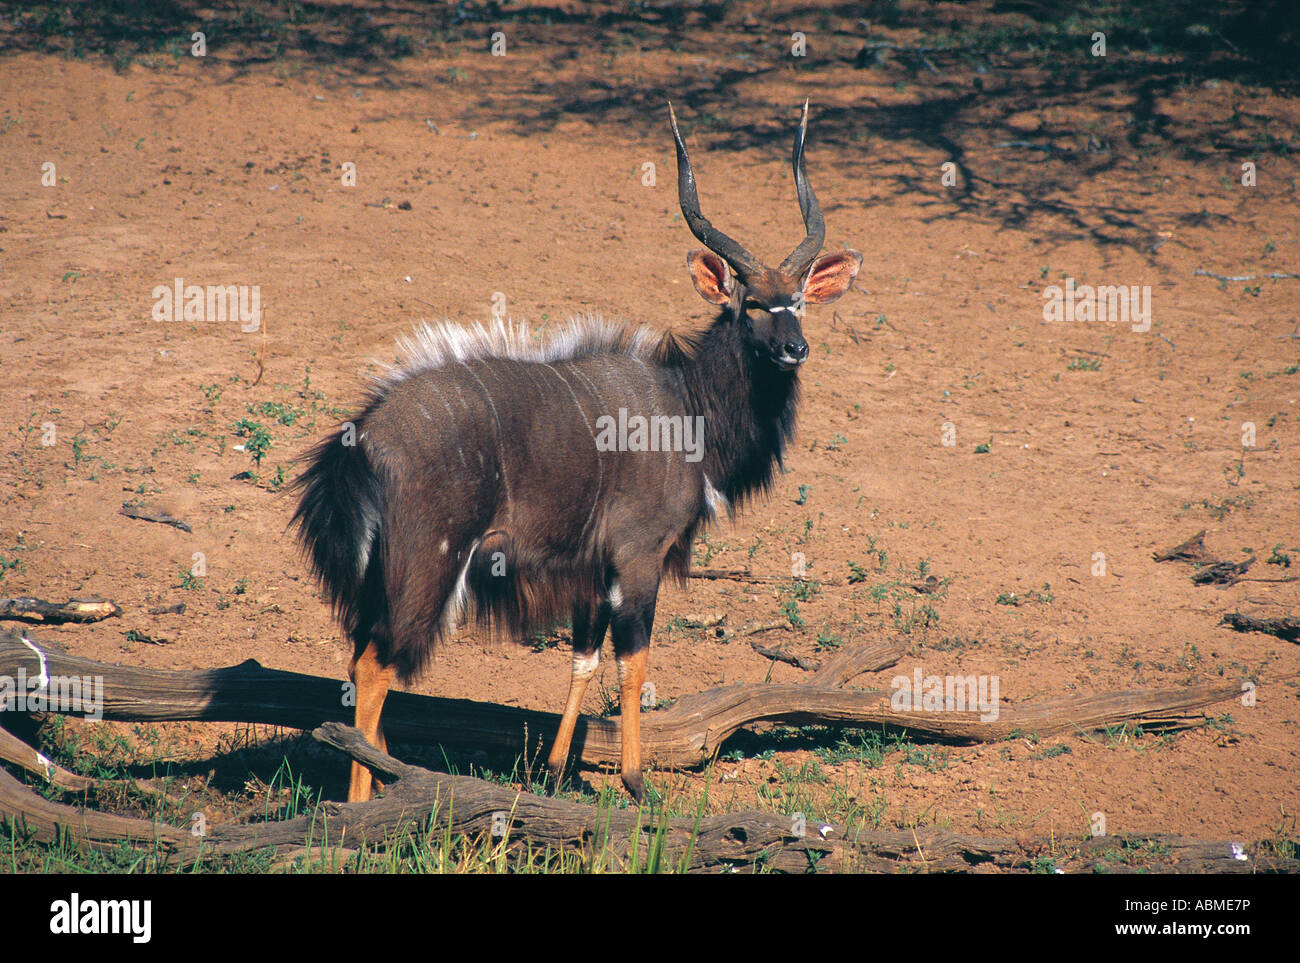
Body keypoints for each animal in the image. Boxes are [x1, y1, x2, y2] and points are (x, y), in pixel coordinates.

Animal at [295, 101, 863, 800]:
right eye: (751, 303)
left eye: (800, 302)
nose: (794, 349)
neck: (687, 407)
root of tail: (361, 437)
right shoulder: (638, 555)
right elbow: (633, 661)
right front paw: (637, 782)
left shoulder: (592, 570)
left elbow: (584, 658)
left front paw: (556, 770)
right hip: (425, 569)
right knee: (376, 665)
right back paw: (368, 798)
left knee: (361, 658)